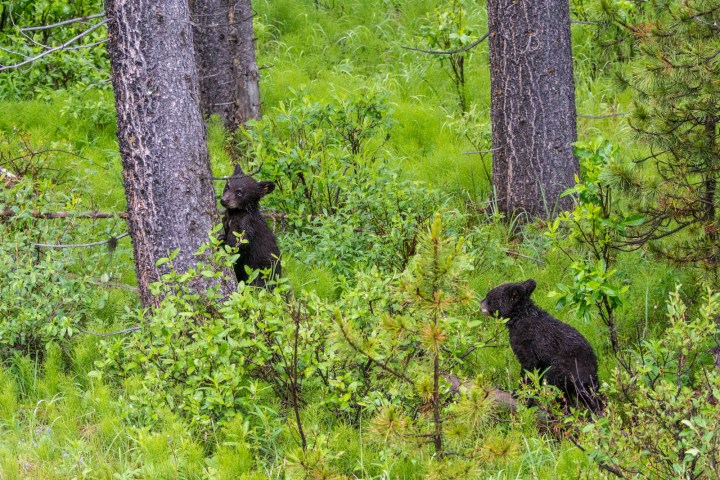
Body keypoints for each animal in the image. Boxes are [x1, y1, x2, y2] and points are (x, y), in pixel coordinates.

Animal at [480, 279, 602, 412]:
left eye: (489, 296)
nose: (480, 303)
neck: (518, 318)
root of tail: (592, 366)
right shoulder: (541, 358)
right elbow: (538, 372)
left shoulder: (527, 344)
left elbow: (529, 368)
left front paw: (520, 393)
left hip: (564, 369)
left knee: (559, 387)